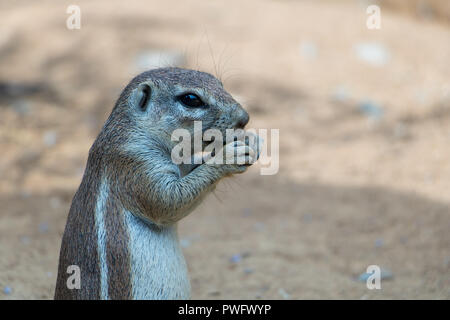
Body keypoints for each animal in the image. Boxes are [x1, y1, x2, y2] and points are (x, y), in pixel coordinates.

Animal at [55, 67, 260, 300]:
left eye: (220, 83)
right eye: (191, 99)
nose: (244, 118)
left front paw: (250, 141)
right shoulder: (134, 167)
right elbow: (167, 201)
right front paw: (230, 155)